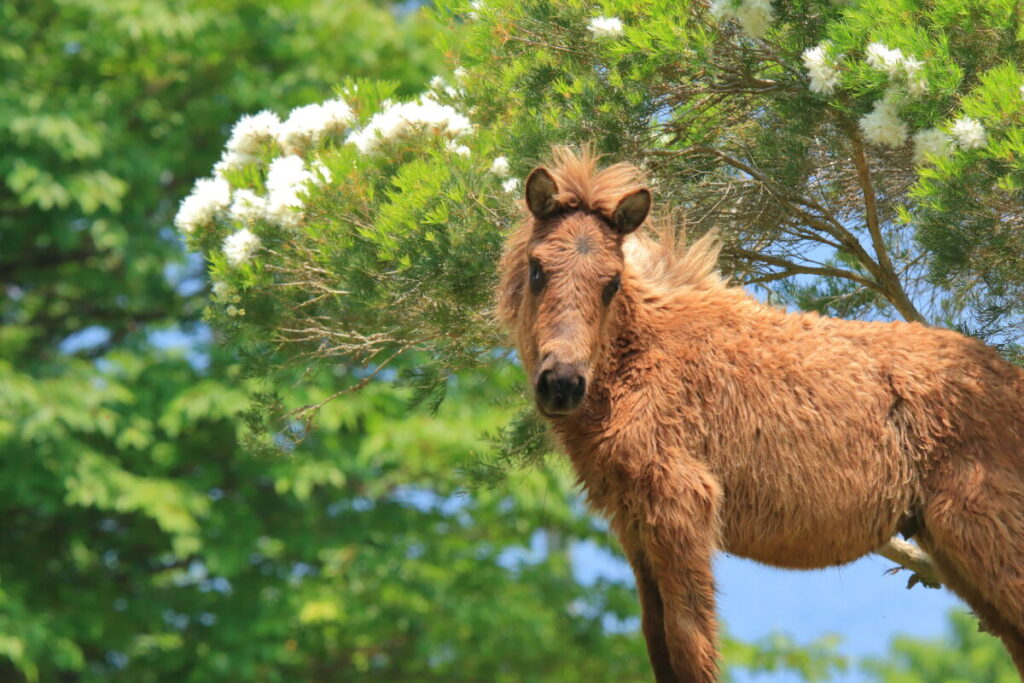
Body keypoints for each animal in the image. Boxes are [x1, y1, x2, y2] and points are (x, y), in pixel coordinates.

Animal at [495, 147, 1024, 681]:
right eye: (537, 269)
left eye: (612, 282)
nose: (562, 383)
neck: (636, 361)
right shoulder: (633, 523)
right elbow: (658, 642)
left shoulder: (682, 504)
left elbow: (690, 644)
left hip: (981, 526)